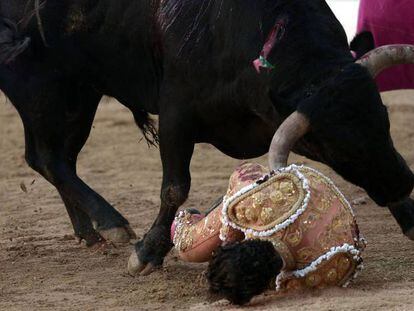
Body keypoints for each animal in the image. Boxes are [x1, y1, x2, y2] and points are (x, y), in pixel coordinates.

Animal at [0, 0, 412, 274]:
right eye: (328, 143)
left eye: (383, 118)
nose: (401, 182)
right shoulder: (176, 114)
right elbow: (174, 188)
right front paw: (146, 254)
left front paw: (409, 219)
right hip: (41, 89)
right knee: (47, 158)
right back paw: (111, 224)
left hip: (78, 95)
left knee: (58, 158)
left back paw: (89, 232)